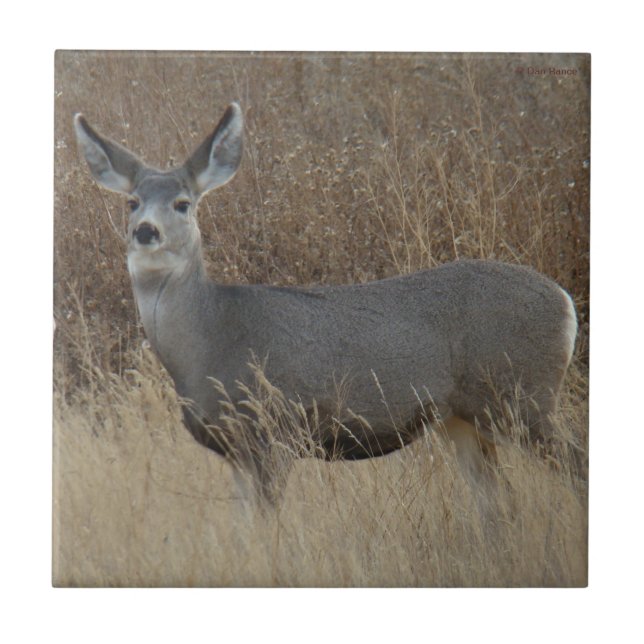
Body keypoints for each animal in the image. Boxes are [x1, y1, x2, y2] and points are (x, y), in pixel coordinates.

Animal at [73, 103, 577, 506]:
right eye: (131, 202)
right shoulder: (233, 449)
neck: (207, 343)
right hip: (463, 417)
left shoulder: (273, 431)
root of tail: (565, 302)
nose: (145, 231)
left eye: (182, 203)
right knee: (499, 503)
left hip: (524, 395)